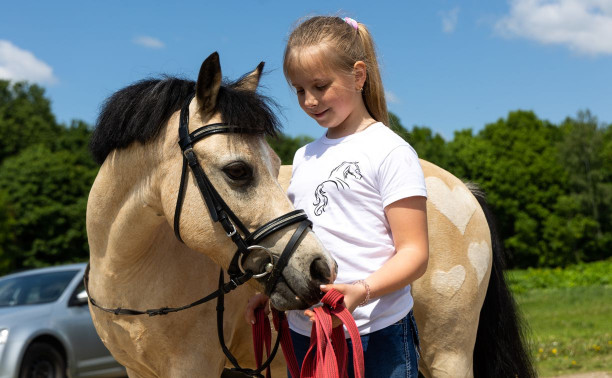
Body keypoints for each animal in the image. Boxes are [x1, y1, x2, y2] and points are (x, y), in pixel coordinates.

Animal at [87, 53, 536, 378]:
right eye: (239, 170)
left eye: (273, 163)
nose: (321, 269)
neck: (129, 273)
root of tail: (464, 190)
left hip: (449, 354)